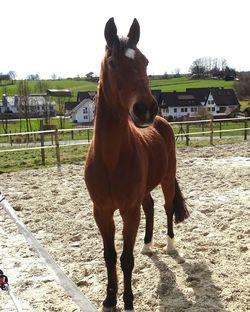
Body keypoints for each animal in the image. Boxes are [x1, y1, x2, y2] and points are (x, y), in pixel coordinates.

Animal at [84, 17, 189, 312]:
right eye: (112, 62)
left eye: (145, 61)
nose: (146, 109)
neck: (110, 159)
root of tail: (163, 123)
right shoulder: (102, 212)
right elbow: (109, 256)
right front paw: (109, 299)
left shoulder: (128, 211)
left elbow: (126, 259)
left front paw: (128, 301)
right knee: (151, 207)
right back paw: (147, 245)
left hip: (167, 180)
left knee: (166, 208)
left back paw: (170, 245)